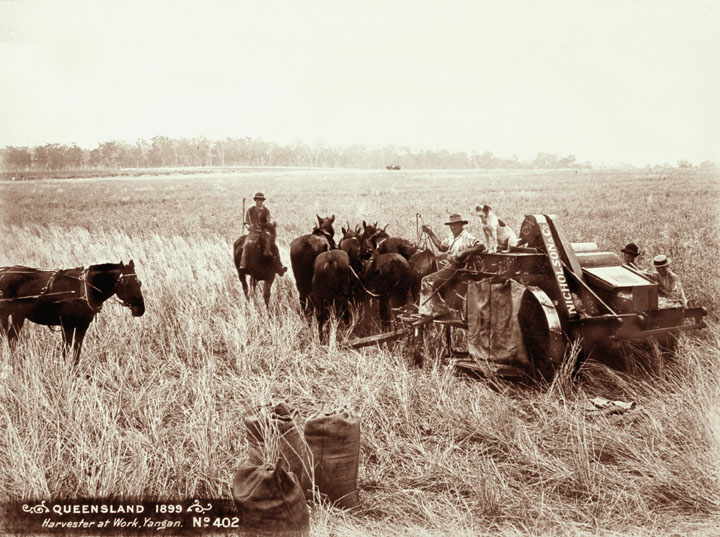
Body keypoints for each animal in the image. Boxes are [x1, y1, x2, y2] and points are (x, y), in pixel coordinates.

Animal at [0, 260, 145, 364]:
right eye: (127, 284)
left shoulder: (83, 326)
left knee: (12, 337)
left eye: (139, 283)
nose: (141, 309)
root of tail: (5, 271)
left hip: (18, 316)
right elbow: (66, 349)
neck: (83, 289)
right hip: (9, 315)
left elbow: (77, 349)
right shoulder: (67, 326)